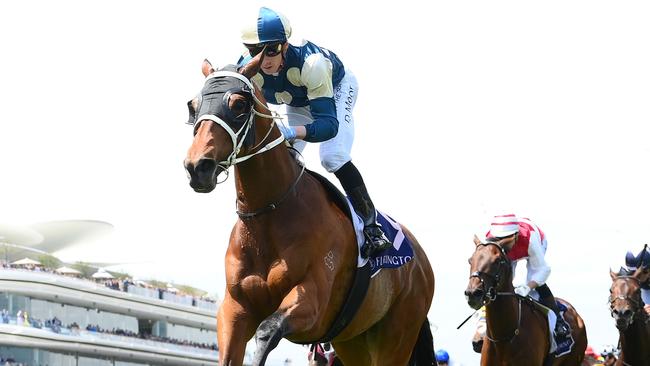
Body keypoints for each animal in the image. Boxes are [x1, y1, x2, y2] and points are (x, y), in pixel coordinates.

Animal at [182, 55, 436, 366]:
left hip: (397, 335)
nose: (198, 166)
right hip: (353, 341)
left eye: (239, 105)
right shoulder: (235, 308)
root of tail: (422, 261)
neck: (269, 215)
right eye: (193, 106)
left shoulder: (312, 300)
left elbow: (267, 330)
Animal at [460, 234, 588, 366]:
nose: (473, 293)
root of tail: (575, 313)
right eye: (470, 260)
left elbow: (542, 269)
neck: (503, 339)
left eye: (497, 261)